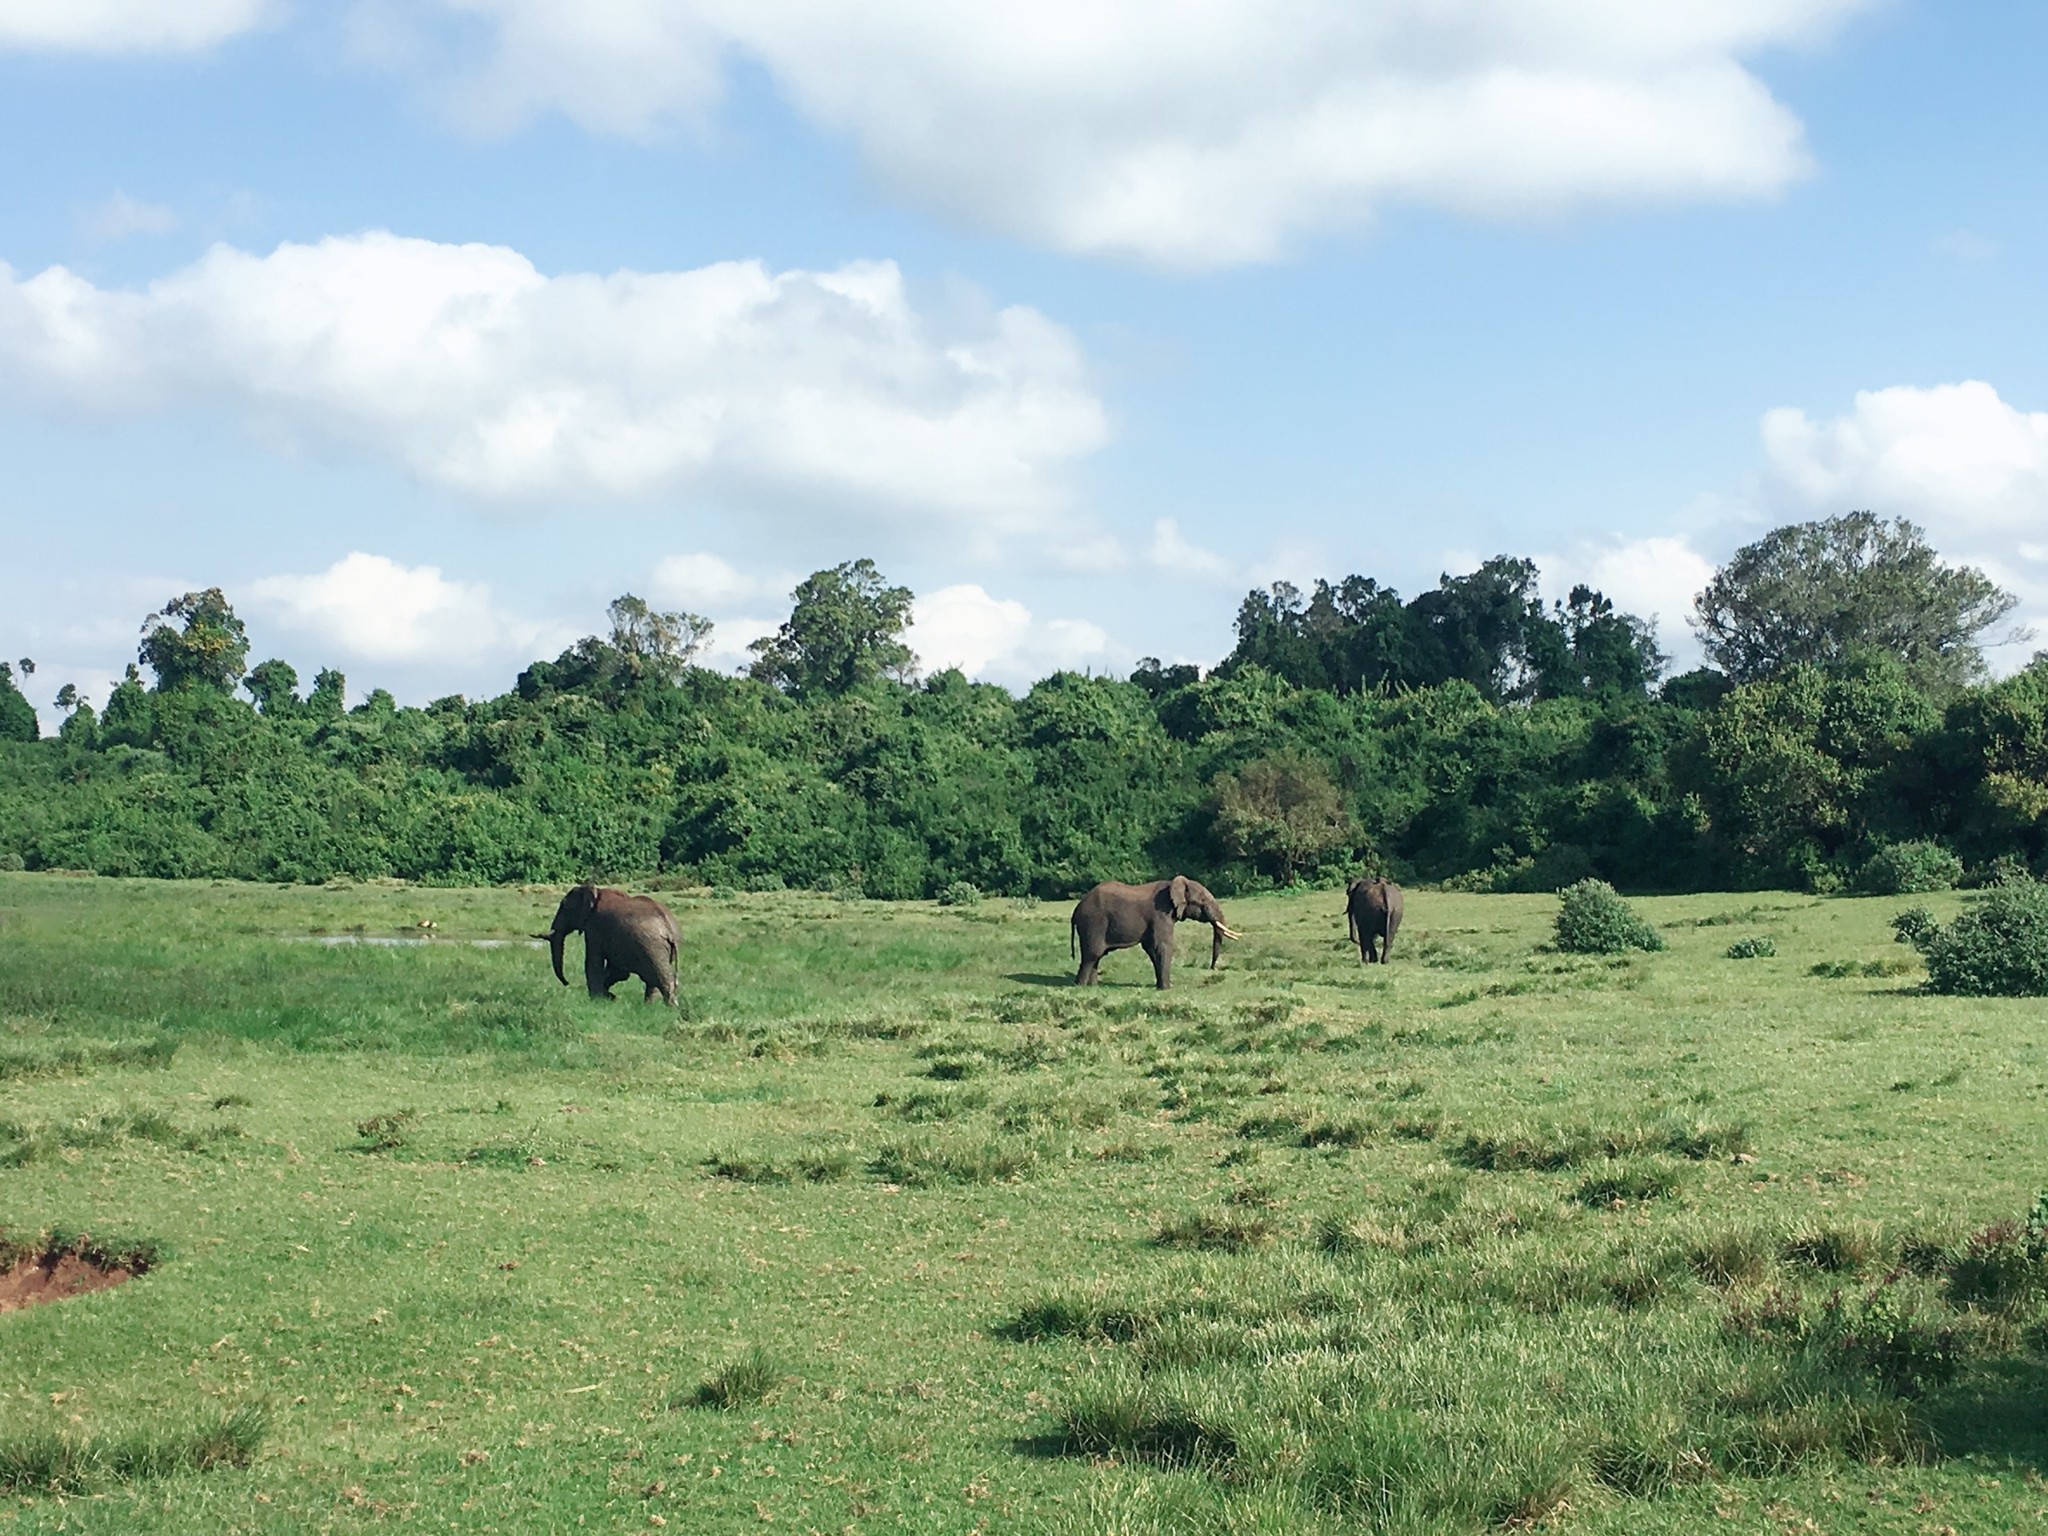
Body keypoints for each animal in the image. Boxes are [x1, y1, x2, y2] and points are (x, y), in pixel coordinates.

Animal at [536, 884, 679, 1003]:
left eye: (565, 907)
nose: (567, 983)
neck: (595, 891)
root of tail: (668, 928)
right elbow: (618, 971)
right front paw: (610, 997)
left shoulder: (594, 928)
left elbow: (593, 961)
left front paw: (598, 999)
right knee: (653, 980)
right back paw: (650, 1006)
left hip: (651, 947)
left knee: (660, 978)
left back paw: (670, 1008)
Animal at [1081, 872, 1236, 991]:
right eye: (1202, 900)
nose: (1212, 968)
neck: (1174, 884)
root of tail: (1079, 908)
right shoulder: (1161, 914)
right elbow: (1161, 946)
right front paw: (1167, 989)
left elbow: (1151, 948)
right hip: (1094, 923)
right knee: (1093, 954)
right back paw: (1080, 985)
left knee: (1096, 956)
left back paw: (1092, 986)